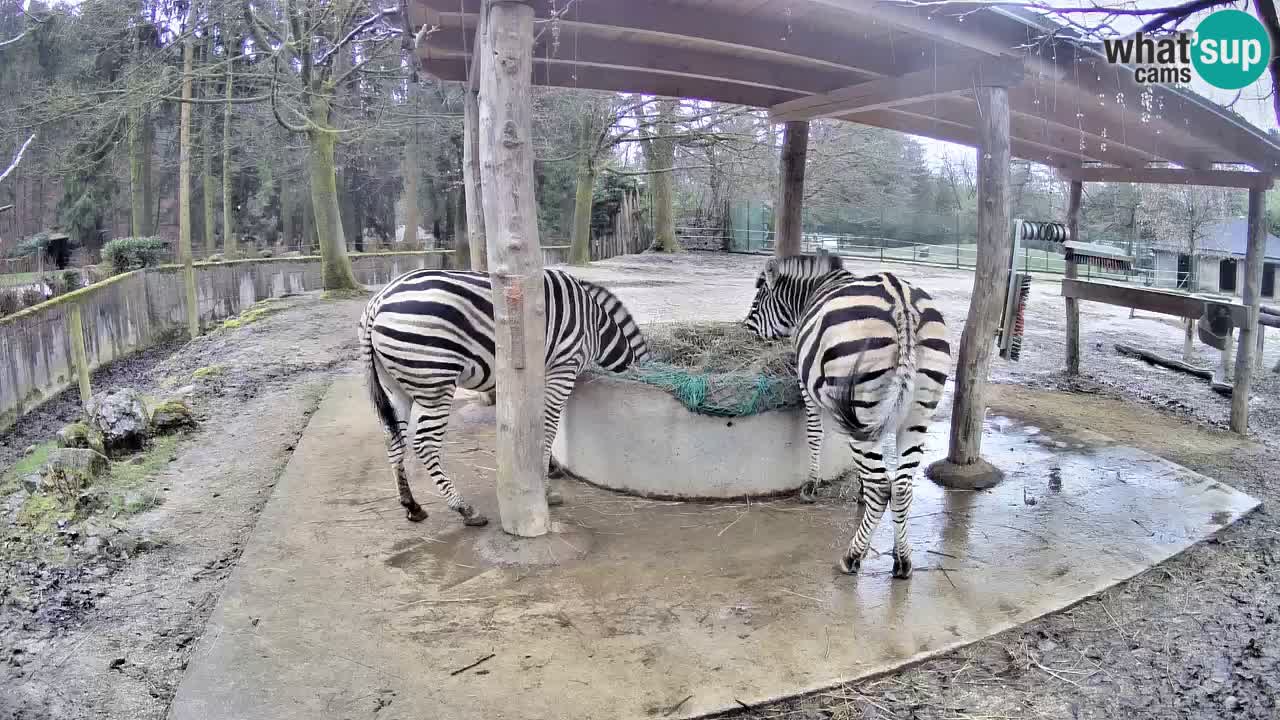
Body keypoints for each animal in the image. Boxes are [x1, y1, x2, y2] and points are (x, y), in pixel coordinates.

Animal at [360, 266, 650, 525]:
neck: (597, 326)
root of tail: (378, 301)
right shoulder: (563, 367)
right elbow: (549, 427)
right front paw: (545, 485)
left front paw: (549, 468)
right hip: (435, 381)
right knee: (424, 443)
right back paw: (465, 509)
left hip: (395, 386)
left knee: (392, 440)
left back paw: (411, 505)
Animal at [742, 252, 952, 576]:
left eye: (756, 303)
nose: (744, 330)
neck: (815, 290)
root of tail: (901, 302)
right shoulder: (849, 411)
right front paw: (859, 492)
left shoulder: (809, 387)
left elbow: (815, 433)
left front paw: (811, 486)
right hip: (915, 414)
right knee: (901, 486)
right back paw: (902, 559)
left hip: (865, 403)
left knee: (883, 487)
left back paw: (852, 556)